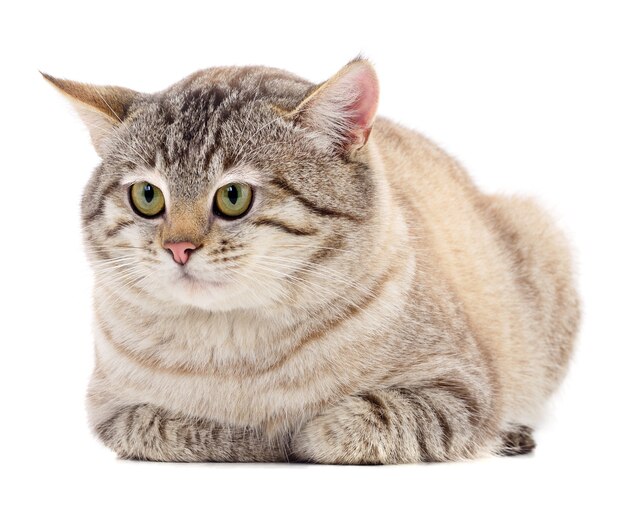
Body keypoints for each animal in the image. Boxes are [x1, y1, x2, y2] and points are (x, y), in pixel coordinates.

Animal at [42, 60, 580, 464]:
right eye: (148, 196)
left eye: (233, 197)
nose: (178, 248)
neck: (235, 350)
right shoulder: (111, 411)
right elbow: (171, 427)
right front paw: (250, 436)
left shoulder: (460, 389)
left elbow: (351, 422)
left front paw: (298, 434)